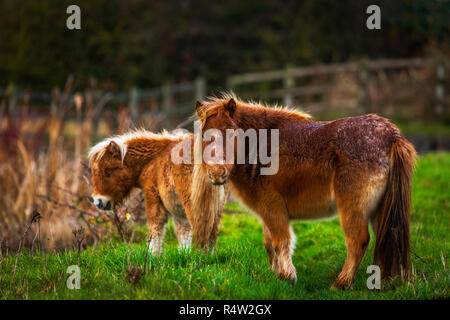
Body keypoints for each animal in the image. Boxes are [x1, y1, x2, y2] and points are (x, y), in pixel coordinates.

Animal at [89, 129, 227, 252]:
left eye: (108, 172)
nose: (98, 202)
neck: (153, 160)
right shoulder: (178, 210)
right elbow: (184, 233)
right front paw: (183, 255)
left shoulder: (153, 197)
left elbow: (155, 230)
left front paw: (151, 257)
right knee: (212, 235)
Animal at [195, 94, 416, 288]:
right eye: (204, 135)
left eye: (232, 132)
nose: (216, 173)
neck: (261, 147)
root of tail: (392, 136)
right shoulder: (266, 211)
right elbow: (269, 244)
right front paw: (275, 275)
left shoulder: (273, 208)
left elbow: (280, 242)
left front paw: (287, 277)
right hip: (381, 208)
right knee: (388, 238)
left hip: (353, 208)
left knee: (358, 241)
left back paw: (341, 284)